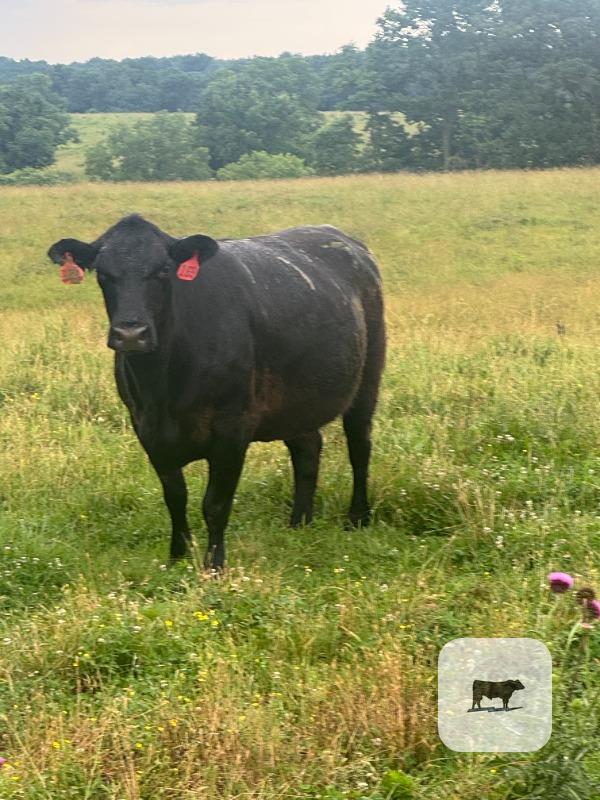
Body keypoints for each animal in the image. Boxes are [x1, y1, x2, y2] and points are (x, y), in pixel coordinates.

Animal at [48, 215, 386, 570]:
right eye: (102, 273)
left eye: (164, 269)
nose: (130, 334)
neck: (164, 389)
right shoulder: (146, 428)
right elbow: (175, 497)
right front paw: (177, 555)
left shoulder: (233, 428)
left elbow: (215, 503)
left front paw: (214, 565)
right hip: (294, 400)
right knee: (307, 448)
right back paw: (299, 522)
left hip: (368, 378)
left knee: (359, 447)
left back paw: (358, 517)